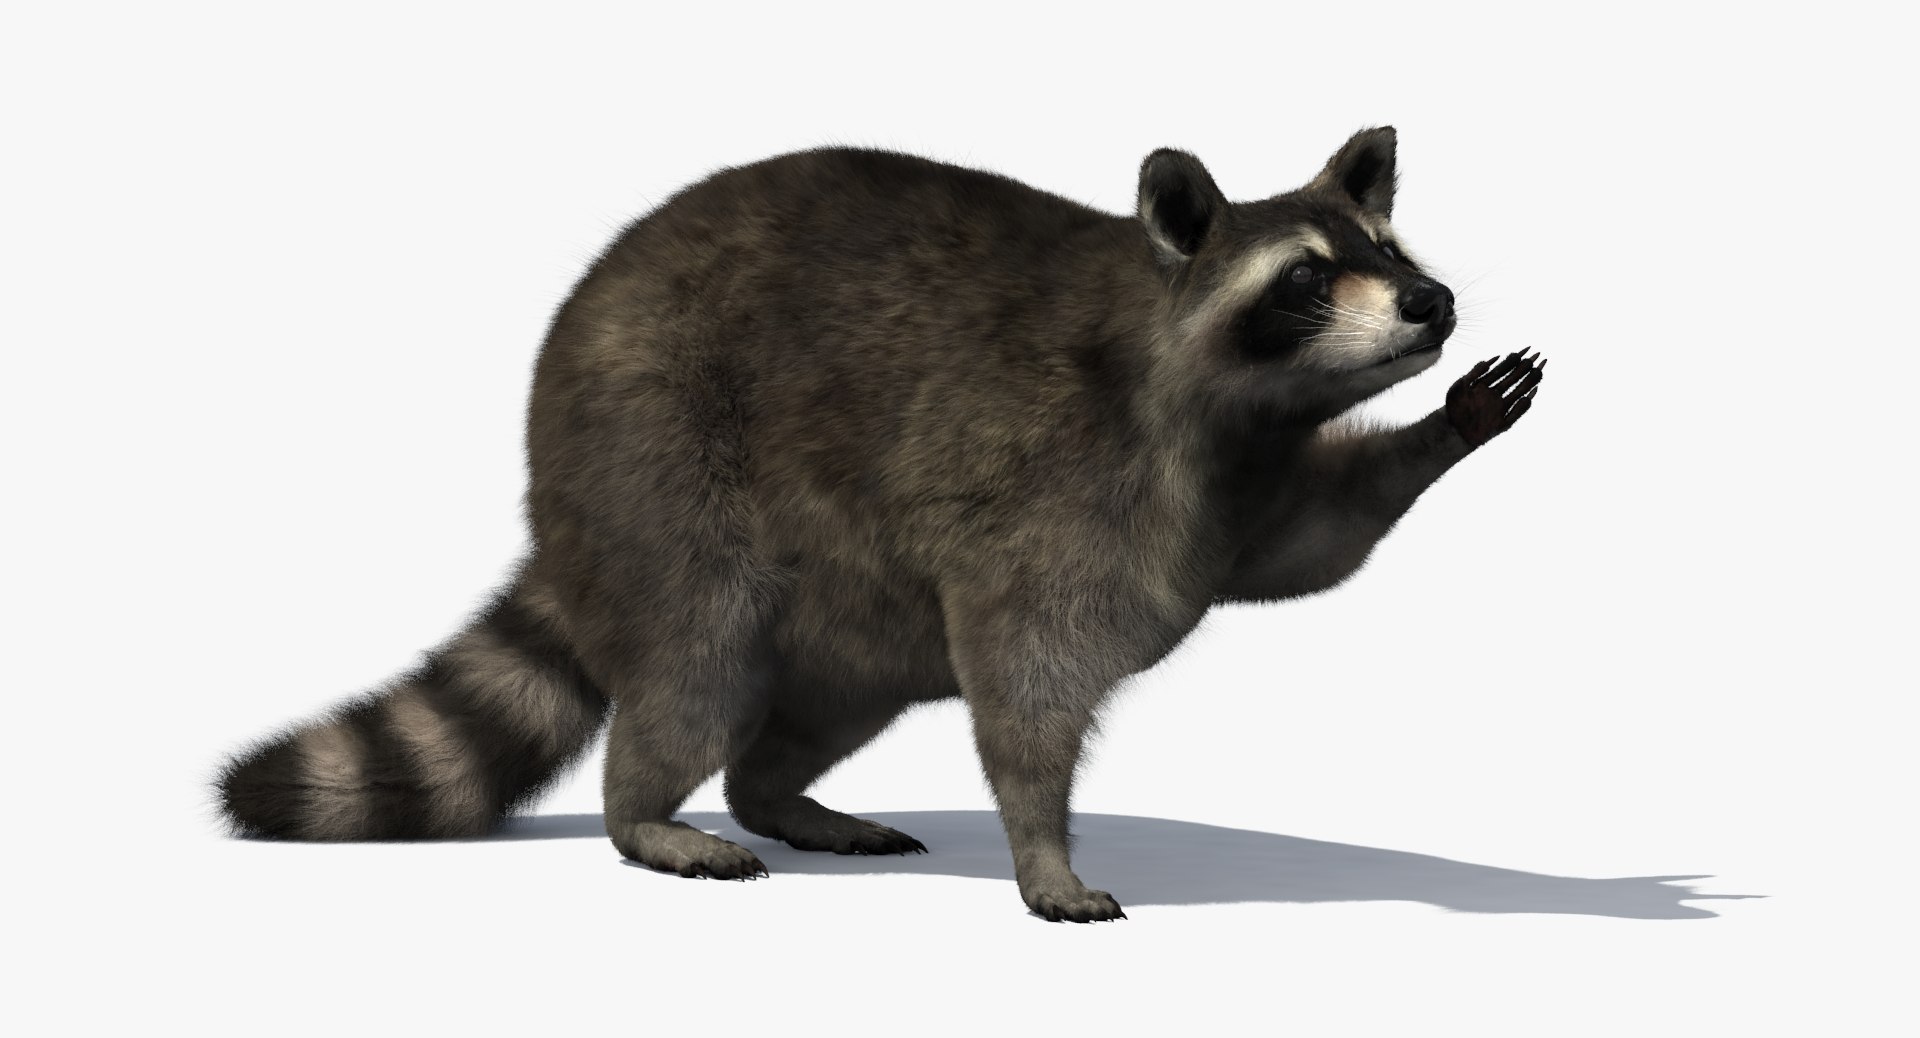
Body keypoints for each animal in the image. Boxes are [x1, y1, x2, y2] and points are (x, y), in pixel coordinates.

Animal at [218, 127, 1545, 922]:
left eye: (1389, 249)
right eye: (1308, 279)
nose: (1432, 304)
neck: (1236, 409)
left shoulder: (1242, 484)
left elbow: (1318, 542)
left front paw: (1448, 427)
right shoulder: (1061, 482)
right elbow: (1026, 679)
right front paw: (1043, 851)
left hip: (852, 604)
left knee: (812, 707)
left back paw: (777, 794)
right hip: (657, 463)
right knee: (696, 665)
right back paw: (648, 815)